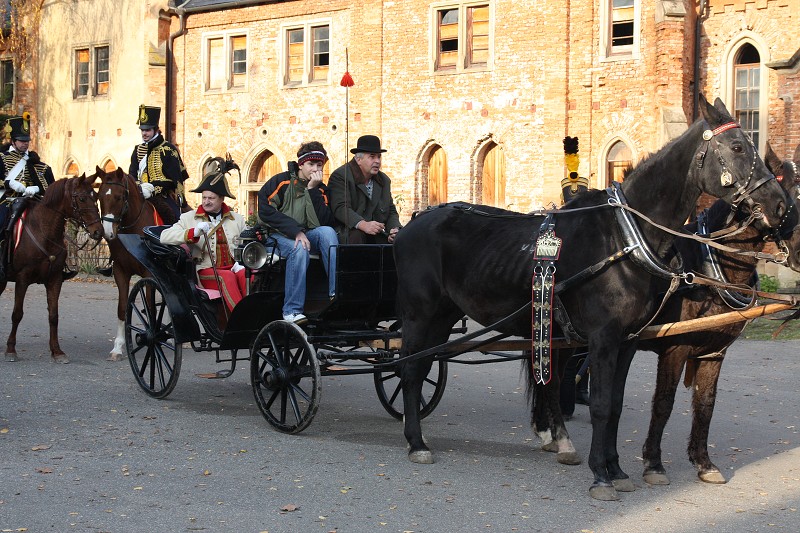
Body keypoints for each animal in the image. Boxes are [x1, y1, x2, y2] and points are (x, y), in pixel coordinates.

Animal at [0, 175, 104, 362]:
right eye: (82, 198)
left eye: (96, 197)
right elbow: (17, 313)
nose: (98, 231)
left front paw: (57, 351)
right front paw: (11, 349)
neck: (44, 231)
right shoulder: (22, 278)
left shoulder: (55, 279)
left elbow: (53, 316)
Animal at [93, 169, 159, 362]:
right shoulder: (120, 272)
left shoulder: (148, 274)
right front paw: (118, 347)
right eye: (99, 196)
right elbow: (122, 308)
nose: (107, 233)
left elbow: (150, 306)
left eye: (119, 197)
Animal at [392, 94, 792, 498]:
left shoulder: (628, 342)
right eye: (738, 146)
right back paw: (416, 441)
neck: (623, 238)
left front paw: (616, 469)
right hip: (421, 316)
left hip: (448, 318)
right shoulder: (606, 339)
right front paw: (601, 474)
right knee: (410, 370)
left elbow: (615, 405)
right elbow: (601, 404)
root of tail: (415, 221)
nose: (779, 205)